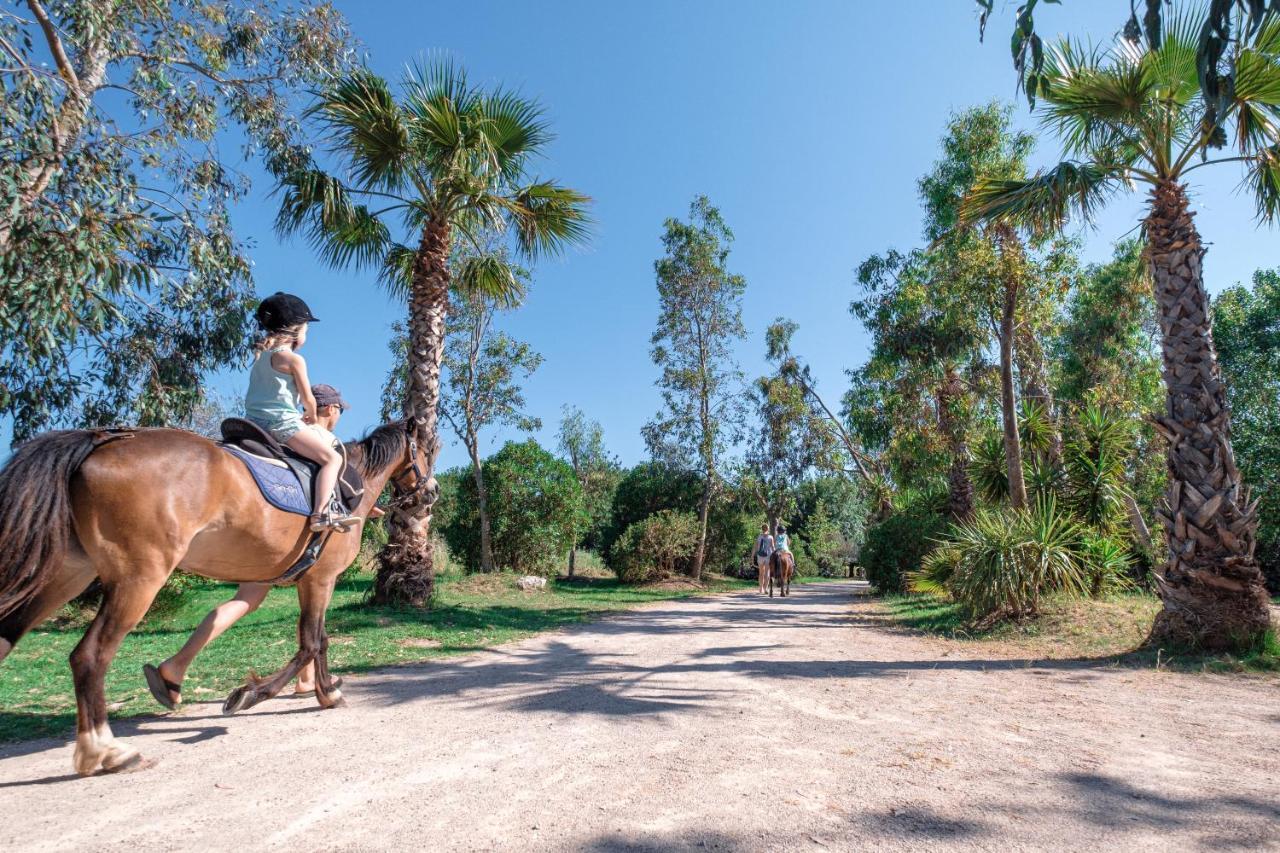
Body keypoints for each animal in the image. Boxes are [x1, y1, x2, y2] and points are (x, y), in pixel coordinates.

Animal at [0, 422, 430, 773]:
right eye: (426, 449)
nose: (432, 492)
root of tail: (99, 443)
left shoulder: (295, 581)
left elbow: (313, 640)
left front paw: (322, 691)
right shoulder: (320, 580)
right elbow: (312, 642)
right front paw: (255, 694)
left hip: (68, 574)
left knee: (9, 633)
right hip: (138, 579)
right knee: (89, 656)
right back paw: (105, 751)